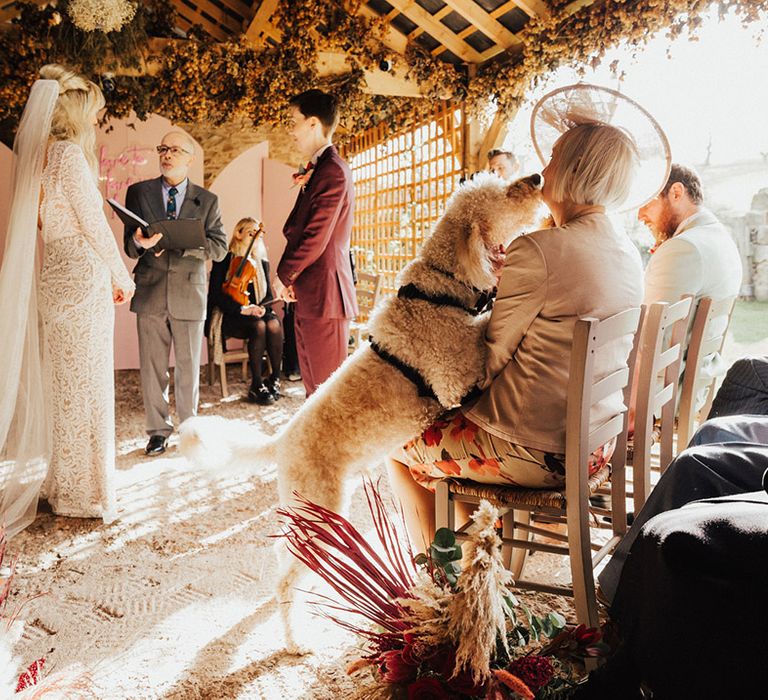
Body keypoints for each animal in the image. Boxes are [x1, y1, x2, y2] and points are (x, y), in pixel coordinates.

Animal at [180, 171, 544, 652]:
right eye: (502, 192)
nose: (537, 177)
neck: (439, 292)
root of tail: (282, 441)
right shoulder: (458, 377)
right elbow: (483, 336)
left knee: (284, 557)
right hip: (321, 514)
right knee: (287, 578)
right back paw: (294, 640)